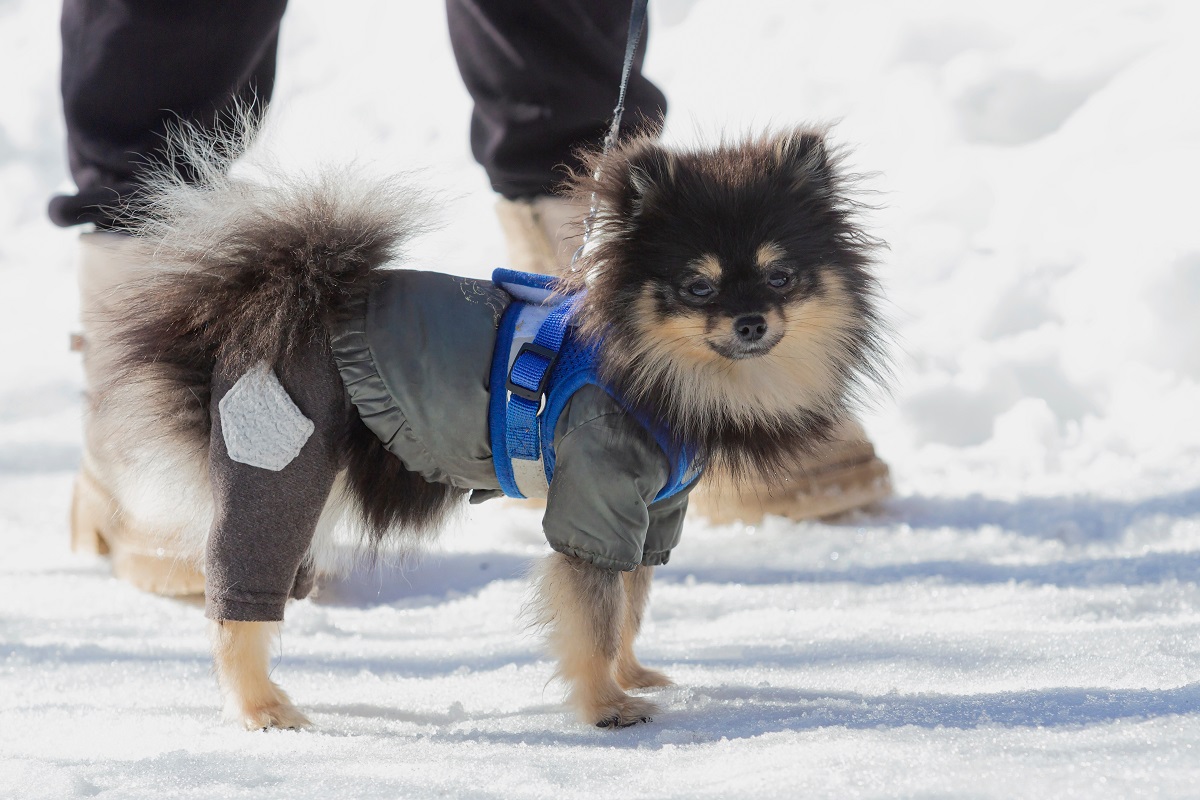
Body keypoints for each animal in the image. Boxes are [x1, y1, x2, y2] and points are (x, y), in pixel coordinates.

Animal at [87, 126, 883, 734]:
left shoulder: (653, 512)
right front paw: (606, 705)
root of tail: (248, 308)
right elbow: (593, 615)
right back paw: (260, 708)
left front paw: (632, 676)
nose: (751, 321)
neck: (658, 369)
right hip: (280, 465)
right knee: (238, 606)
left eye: (781, 277)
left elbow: (627, 607)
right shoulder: (594, 500)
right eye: (698, 286)